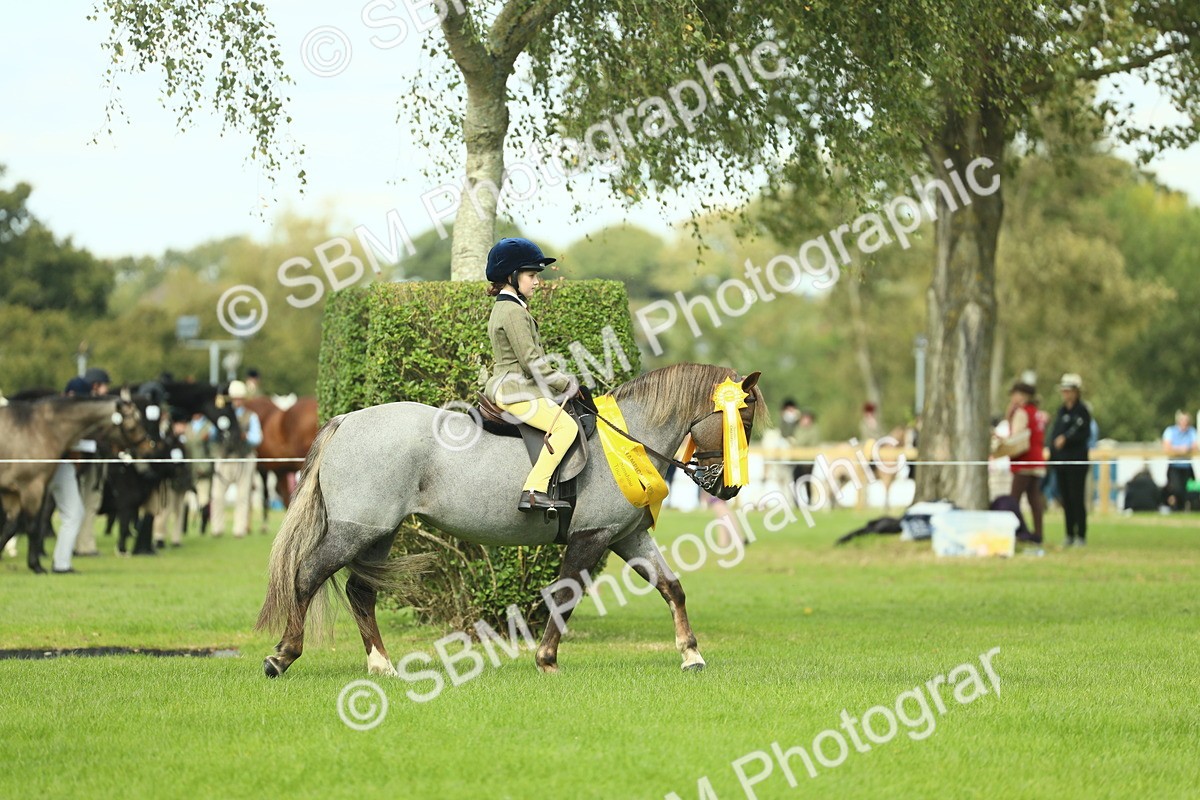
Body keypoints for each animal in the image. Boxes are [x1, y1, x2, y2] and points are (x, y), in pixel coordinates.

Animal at [256, 363, 763, 677]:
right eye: (743, 420)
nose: (728, 489)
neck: (625, 440)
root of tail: (348, 420)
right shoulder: (591, 537)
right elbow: (564, 594)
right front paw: (546, 658)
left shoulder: (627, 538)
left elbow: (671, 587)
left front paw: (691, 654)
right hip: (353, 531)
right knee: (306, 575)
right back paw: (282, 656)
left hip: (379, 534)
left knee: (361, 592)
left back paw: (381, 665)